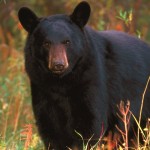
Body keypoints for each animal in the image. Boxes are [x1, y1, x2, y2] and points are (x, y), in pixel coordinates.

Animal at [18, 1, 150, 150]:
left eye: (67, 41)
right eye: (46, 43)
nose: (58, 64)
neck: (61, 83)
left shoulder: (90, 80)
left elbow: (90, 125)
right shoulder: (41, 87)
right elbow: (51, 129)